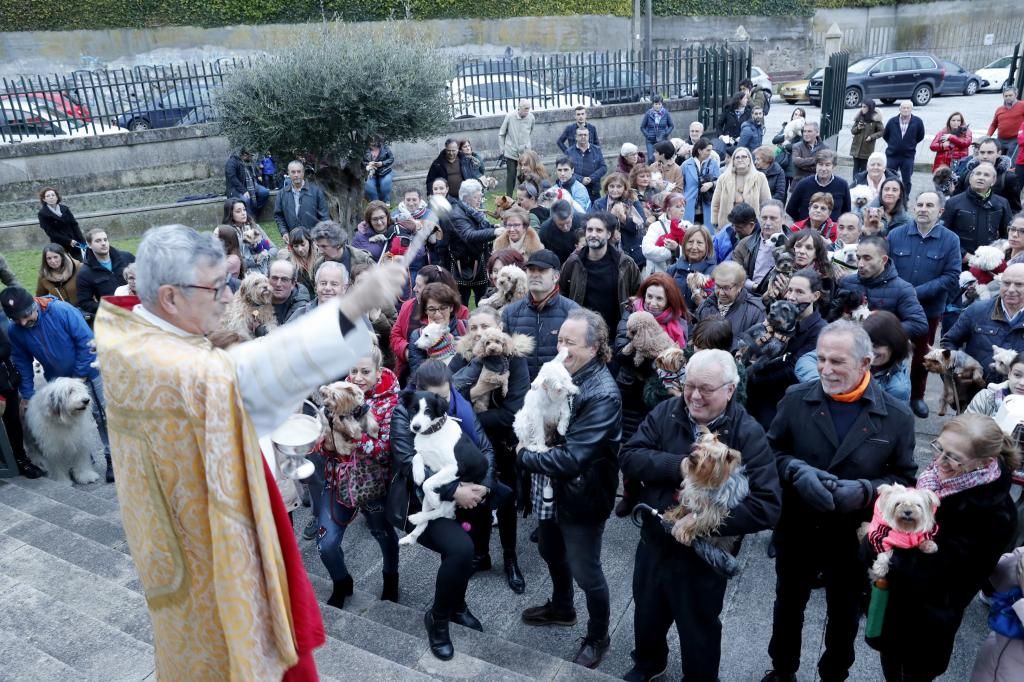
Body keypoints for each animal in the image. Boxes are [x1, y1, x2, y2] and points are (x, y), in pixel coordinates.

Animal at [399, 391, 487, 544]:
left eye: (428, 411)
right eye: (413, 410)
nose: (415, 427)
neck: (432, 433)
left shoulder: (454, 468)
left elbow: (427, 483)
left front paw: (434, 499)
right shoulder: (430, 462)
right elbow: (417, 457)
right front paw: (418, 475)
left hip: (453, 498)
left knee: (440, 511)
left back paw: (417, 516)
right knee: (429, 517)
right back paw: (411, 537)